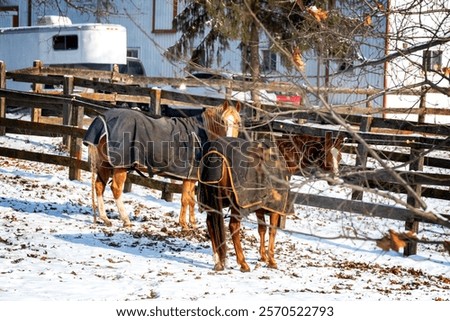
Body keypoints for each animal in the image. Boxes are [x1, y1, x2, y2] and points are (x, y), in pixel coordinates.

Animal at [82, 100, 241, 228]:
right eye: (222, 121)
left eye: (238, 122)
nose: (229, 141)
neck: (200, 135)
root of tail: (101, 119)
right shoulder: (188, 177)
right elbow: (185, 199)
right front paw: (184, 225)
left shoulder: (192, 178)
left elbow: (191, 200)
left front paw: (193, 224)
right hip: (120, 167)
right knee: (116, 189)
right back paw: (126, 220)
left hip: (105, 164)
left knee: (99, 186)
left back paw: (105, 219)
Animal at [199, 132, 342, 270]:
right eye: (327, 155)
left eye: (339, 157)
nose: (335, 180)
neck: (284, 156)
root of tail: (215, 153)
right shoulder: (275, 207)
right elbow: (272, 230)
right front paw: (272, 261)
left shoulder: (260, 204)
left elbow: (261, 229)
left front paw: (263, 256)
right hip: (237, 205)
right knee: (233, 227)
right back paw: (243, 263)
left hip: (211, 202)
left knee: (210, 224)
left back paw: (218, 262)